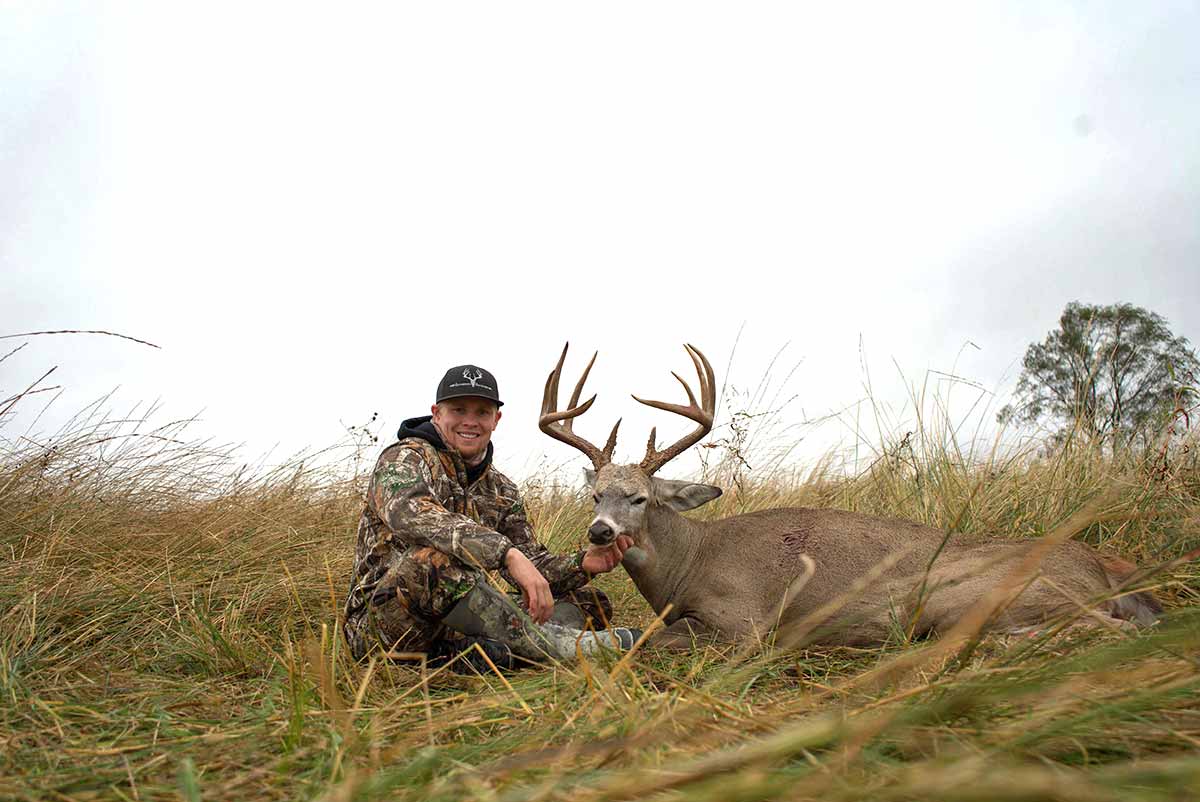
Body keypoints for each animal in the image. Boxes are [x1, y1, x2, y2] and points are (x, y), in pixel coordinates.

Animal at [538, 343, 1163, 650]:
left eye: (640, 498)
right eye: (594, 496)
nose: (599, 532)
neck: (692, 563)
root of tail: (1102, 567)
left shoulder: (745, 621)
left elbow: (647, 641)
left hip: (961, 595)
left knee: (1114, 629)